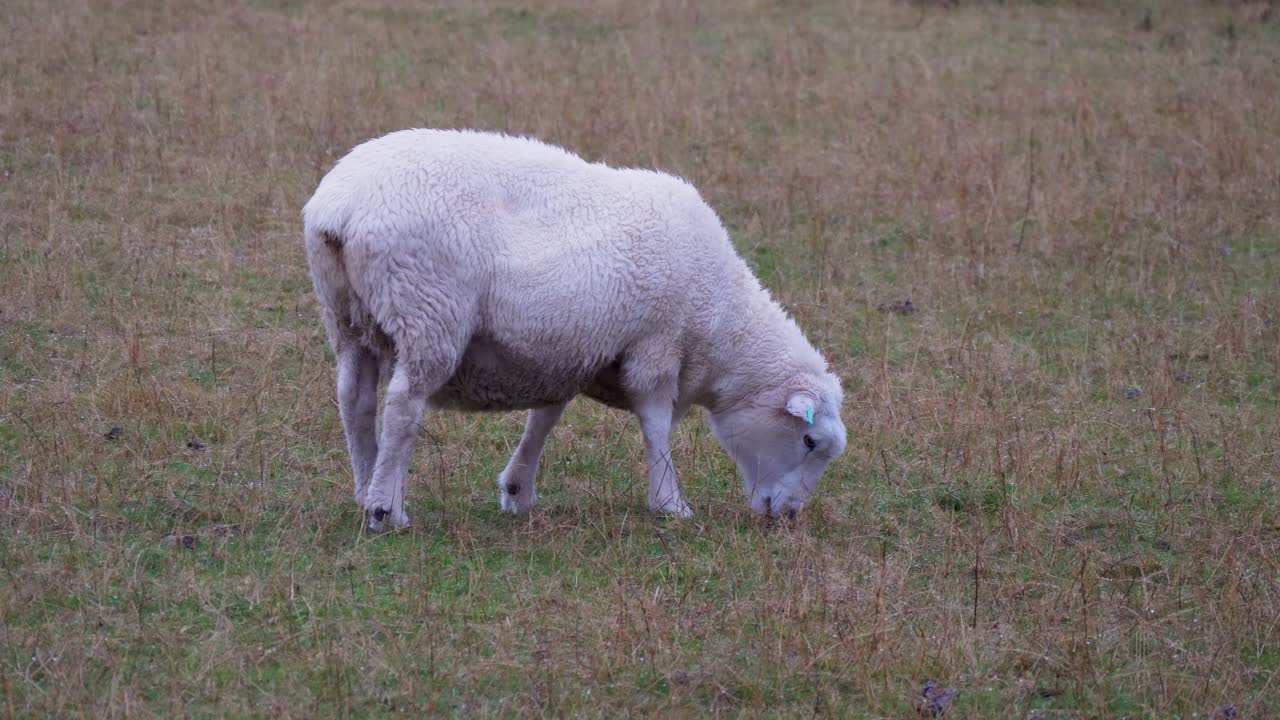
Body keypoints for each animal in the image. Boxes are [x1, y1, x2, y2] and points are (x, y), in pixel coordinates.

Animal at [303, 129, 847, 530]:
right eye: (809, 442)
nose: (789, 515)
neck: (723, 325)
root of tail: (339, 209)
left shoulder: (570, 350)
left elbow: (546, 415)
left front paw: (518, 489)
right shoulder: (656, 346)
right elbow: (656, 424)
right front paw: (670, 502)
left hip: (346, 317)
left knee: (355, 400)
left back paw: (365, 489)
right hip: (428, 312)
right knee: (402, 408)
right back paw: (385, 510)